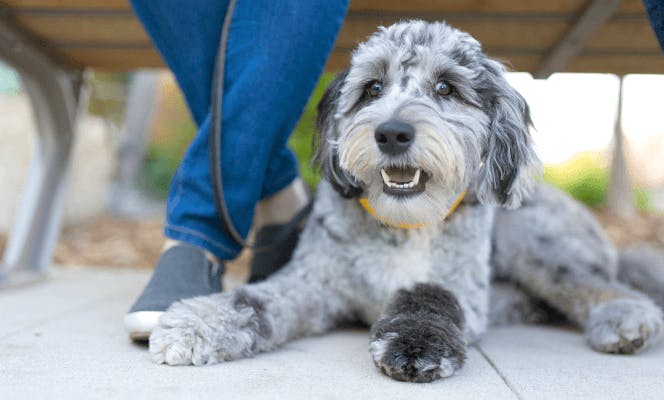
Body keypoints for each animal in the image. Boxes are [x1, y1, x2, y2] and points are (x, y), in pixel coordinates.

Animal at [150, 20, 664, 382]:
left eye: (445, 88)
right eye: (373, 88)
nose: (392, 132)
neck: (403, 225)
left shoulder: (460, 286)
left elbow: (429, 295)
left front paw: (417, 346)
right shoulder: (312, 284)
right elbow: (252, 300)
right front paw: (196, 324)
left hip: (535, 243)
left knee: (604, 285)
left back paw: (627, 318)